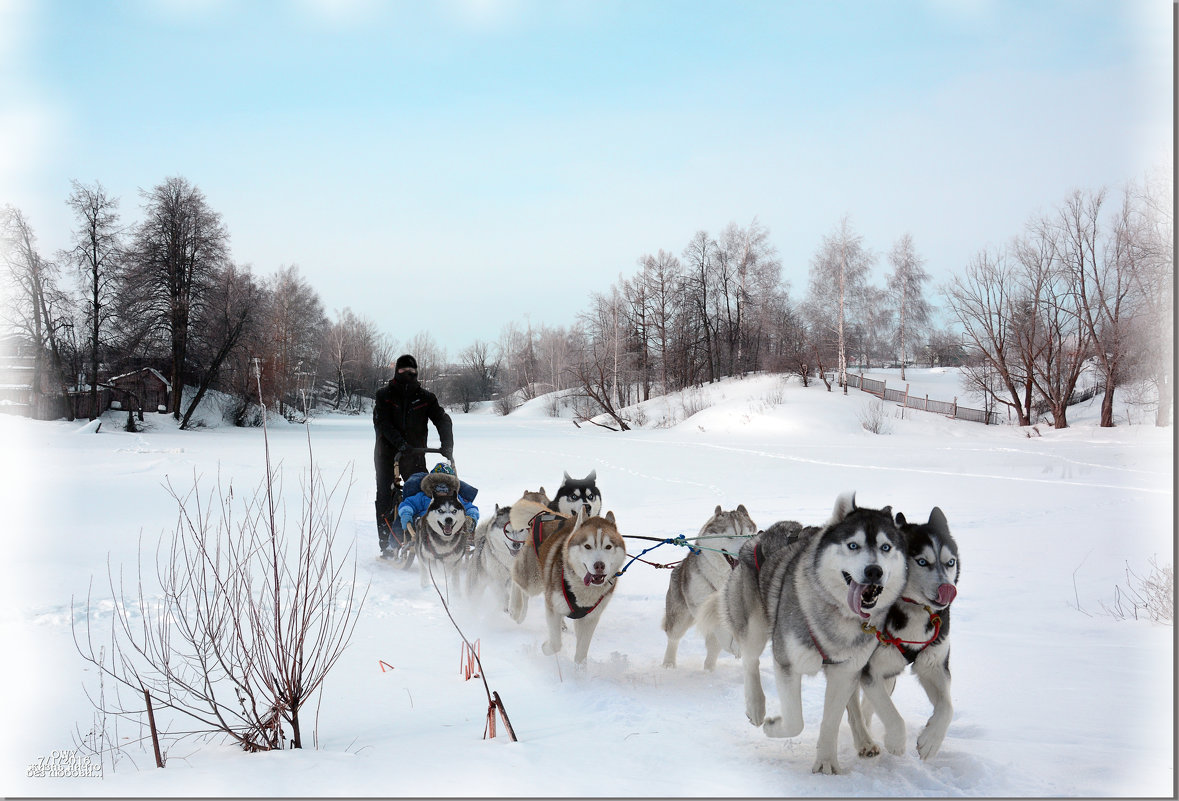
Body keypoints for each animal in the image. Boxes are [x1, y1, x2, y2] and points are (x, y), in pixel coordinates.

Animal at [537, 509, 627, 665]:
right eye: (587, 546)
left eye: (608, 546)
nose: (599, 565)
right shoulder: (553, 607)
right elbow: (555, 644)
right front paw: (545, 647)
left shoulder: (590, 618)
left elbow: (581, 654)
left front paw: (580, 670)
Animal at [660, 507, 759, 670]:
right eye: (730, 536)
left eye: (748, 535)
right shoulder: (701, 604)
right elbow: (719, 625)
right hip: (680, 617)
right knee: (674, 638)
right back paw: (669, 663)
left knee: (713, 649)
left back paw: (709, 669)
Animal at [721, 495, 905, 778]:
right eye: (853, 545)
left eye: (886, 547)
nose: (874, 571)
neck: (837, 616)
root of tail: (763, 535)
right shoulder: (787, 662)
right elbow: (795, 720)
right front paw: (773, 726)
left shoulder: (845, 671)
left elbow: (831, 720)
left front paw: (826, 762)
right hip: (753, 625)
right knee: (750, 661)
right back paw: (756, 706)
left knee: (852, 705)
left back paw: (864, 740)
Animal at [848, 509, 957, 759]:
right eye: (922, 561)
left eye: (950, 562)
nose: (948, 589)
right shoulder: (871, 671)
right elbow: (891, 714)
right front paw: (896, 740)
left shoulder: (933, 665)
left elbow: (947, 708)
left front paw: (930, 740)